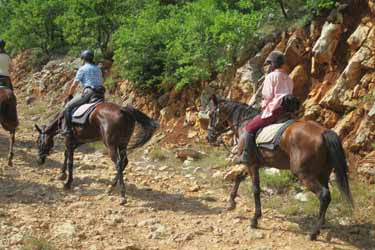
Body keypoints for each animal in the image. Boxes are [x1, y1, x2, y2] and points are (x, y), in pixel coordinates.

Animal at [207, 95, 354, 240]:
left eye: (211, 115)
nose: (209, 137)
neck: (245, 122)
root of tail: (324, 132)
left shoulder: (251, 164)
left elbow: (255, 189)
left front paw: (255, 219)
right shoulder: (253, 163)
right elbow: (239, 177)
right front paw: (231, 202)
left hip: (304, 175)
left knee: (324, 195)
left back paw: (313, 232)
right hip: (323, 174)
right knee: (326, 196)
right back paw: (319, 227)